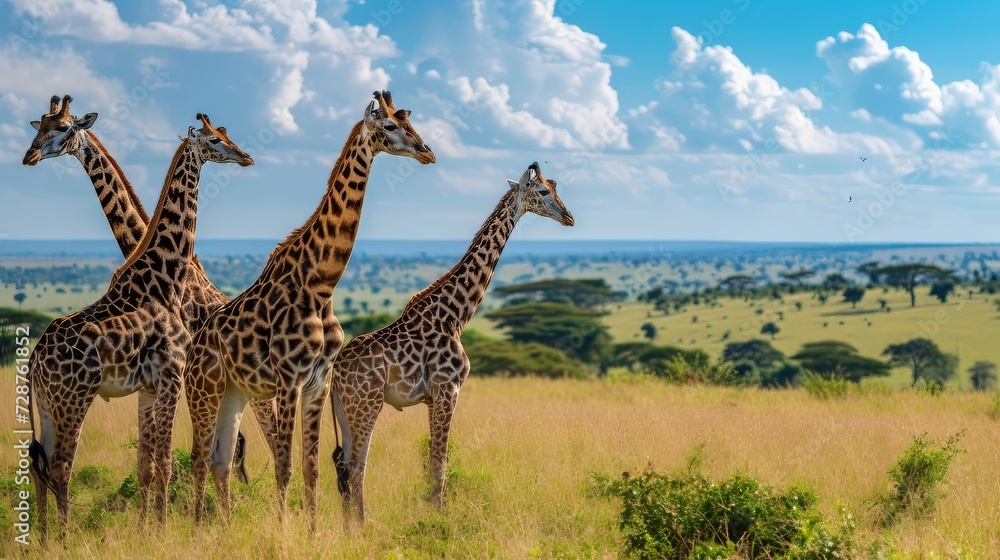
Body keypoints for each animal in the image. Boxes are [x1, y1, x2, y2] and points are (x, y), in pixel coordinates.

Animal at [185, 91, 435, 529]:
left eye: (410, 122)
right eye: (390, 126)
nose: (427, 152)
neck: (321, 284)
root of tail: (190, 353)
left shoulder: (319, 380)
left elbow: (312, 467)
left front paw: (314, 532)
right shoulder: (288, 379)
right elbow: (284, 465)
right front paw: (284, 531)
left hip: (234, 394)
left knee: (220, 461)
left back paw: (225, 528)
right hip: (205, 389)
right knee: (199, 460)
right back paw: (200, 531)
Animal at [330, 162, 574, 523]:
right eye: (544, 191)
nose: (569, 217)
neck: (457, 313)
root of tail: (335, 374)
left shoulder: (433, 398)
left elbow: (434, 462)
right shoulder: (448, 388)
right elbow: (440, 464)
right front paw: (438, 520)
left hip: (343, 411)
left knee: (343, 466)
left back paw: (348, 528)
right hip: (366, 404)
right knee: (357, 467)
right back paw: (363, 526)